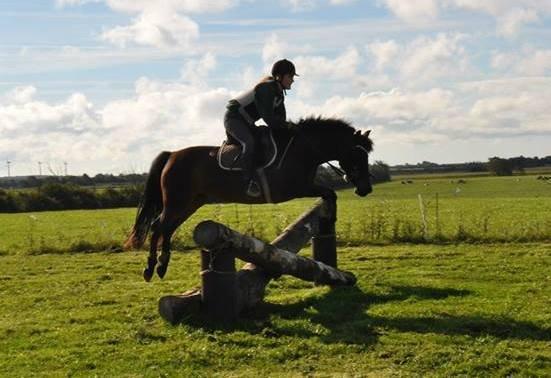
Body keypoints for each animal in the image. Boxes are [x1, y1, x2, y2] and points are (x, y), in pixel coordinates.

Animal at [124, 116, 376, 282]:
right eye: (357, 154)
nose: (365, 189)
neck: (305, 149)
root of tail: (171, 155)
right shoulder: (295, 188)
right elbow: (330, 192)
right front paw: (331, 216)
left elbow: (329, 193)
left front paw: (330, 215)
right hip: (178, 201)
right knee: (158, 226)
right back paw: (150, 269)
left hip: (190, 202)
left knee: (167, 228)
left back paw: (161, 266)